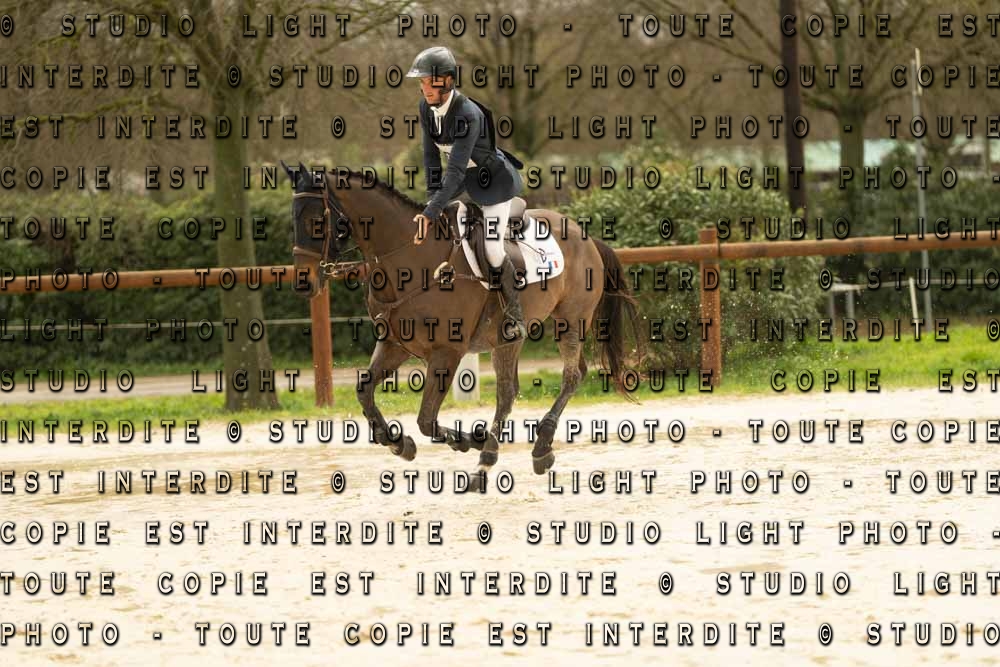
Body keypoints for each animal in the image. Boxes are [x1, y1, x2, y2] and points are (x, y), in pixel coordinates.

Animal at [283, 161, 641, 487]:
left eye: (316, 220)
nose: (303, 283)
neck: (410, 262)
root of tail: (587, 236)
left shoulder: (446, 353)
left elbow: (426, 420)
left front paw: (466, 440)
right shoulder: (395, 345)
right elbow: (365, 392)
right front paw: (400, 444)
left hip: (571, 319)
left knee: (568, 376)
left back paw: (520, 451)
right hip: (509, 337)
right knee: (511, 391)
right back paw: (507, 453)